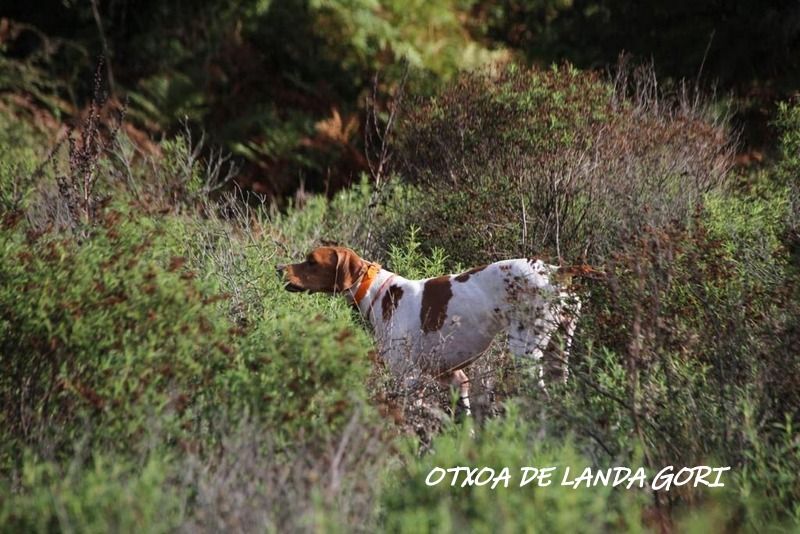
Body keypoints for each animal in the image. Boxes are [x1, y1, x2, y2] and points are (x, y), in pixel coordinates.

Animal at [278, 247, 596, 418]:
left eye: (311, 261)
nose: (278, 268)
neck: (381, 293)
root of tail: (557, 271)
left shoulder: (407, 377)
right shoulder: (452, 377)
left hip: (526, 352)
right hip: (559, 353)